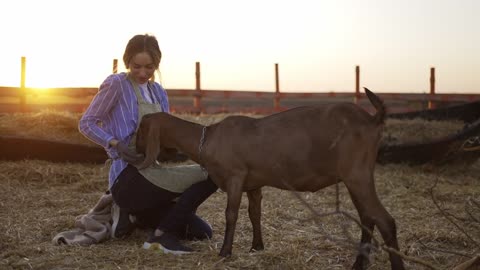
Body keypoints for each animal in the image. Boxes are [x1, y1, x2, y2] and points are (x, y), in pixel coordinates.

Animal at [135, 87, 404, 268]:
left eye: (141, 129)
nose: (134, 147)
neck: (208, 138)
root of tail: (372, 119)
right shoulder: (254, 182)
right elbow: (255, 213)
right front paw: (257, 246)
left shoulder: (235, 176)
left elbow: (231, 214)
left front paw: (225, 251)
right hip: (354, 178)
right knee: (367, 218)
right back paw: (358, 264)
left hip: (357, 174)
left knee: (385, 220)